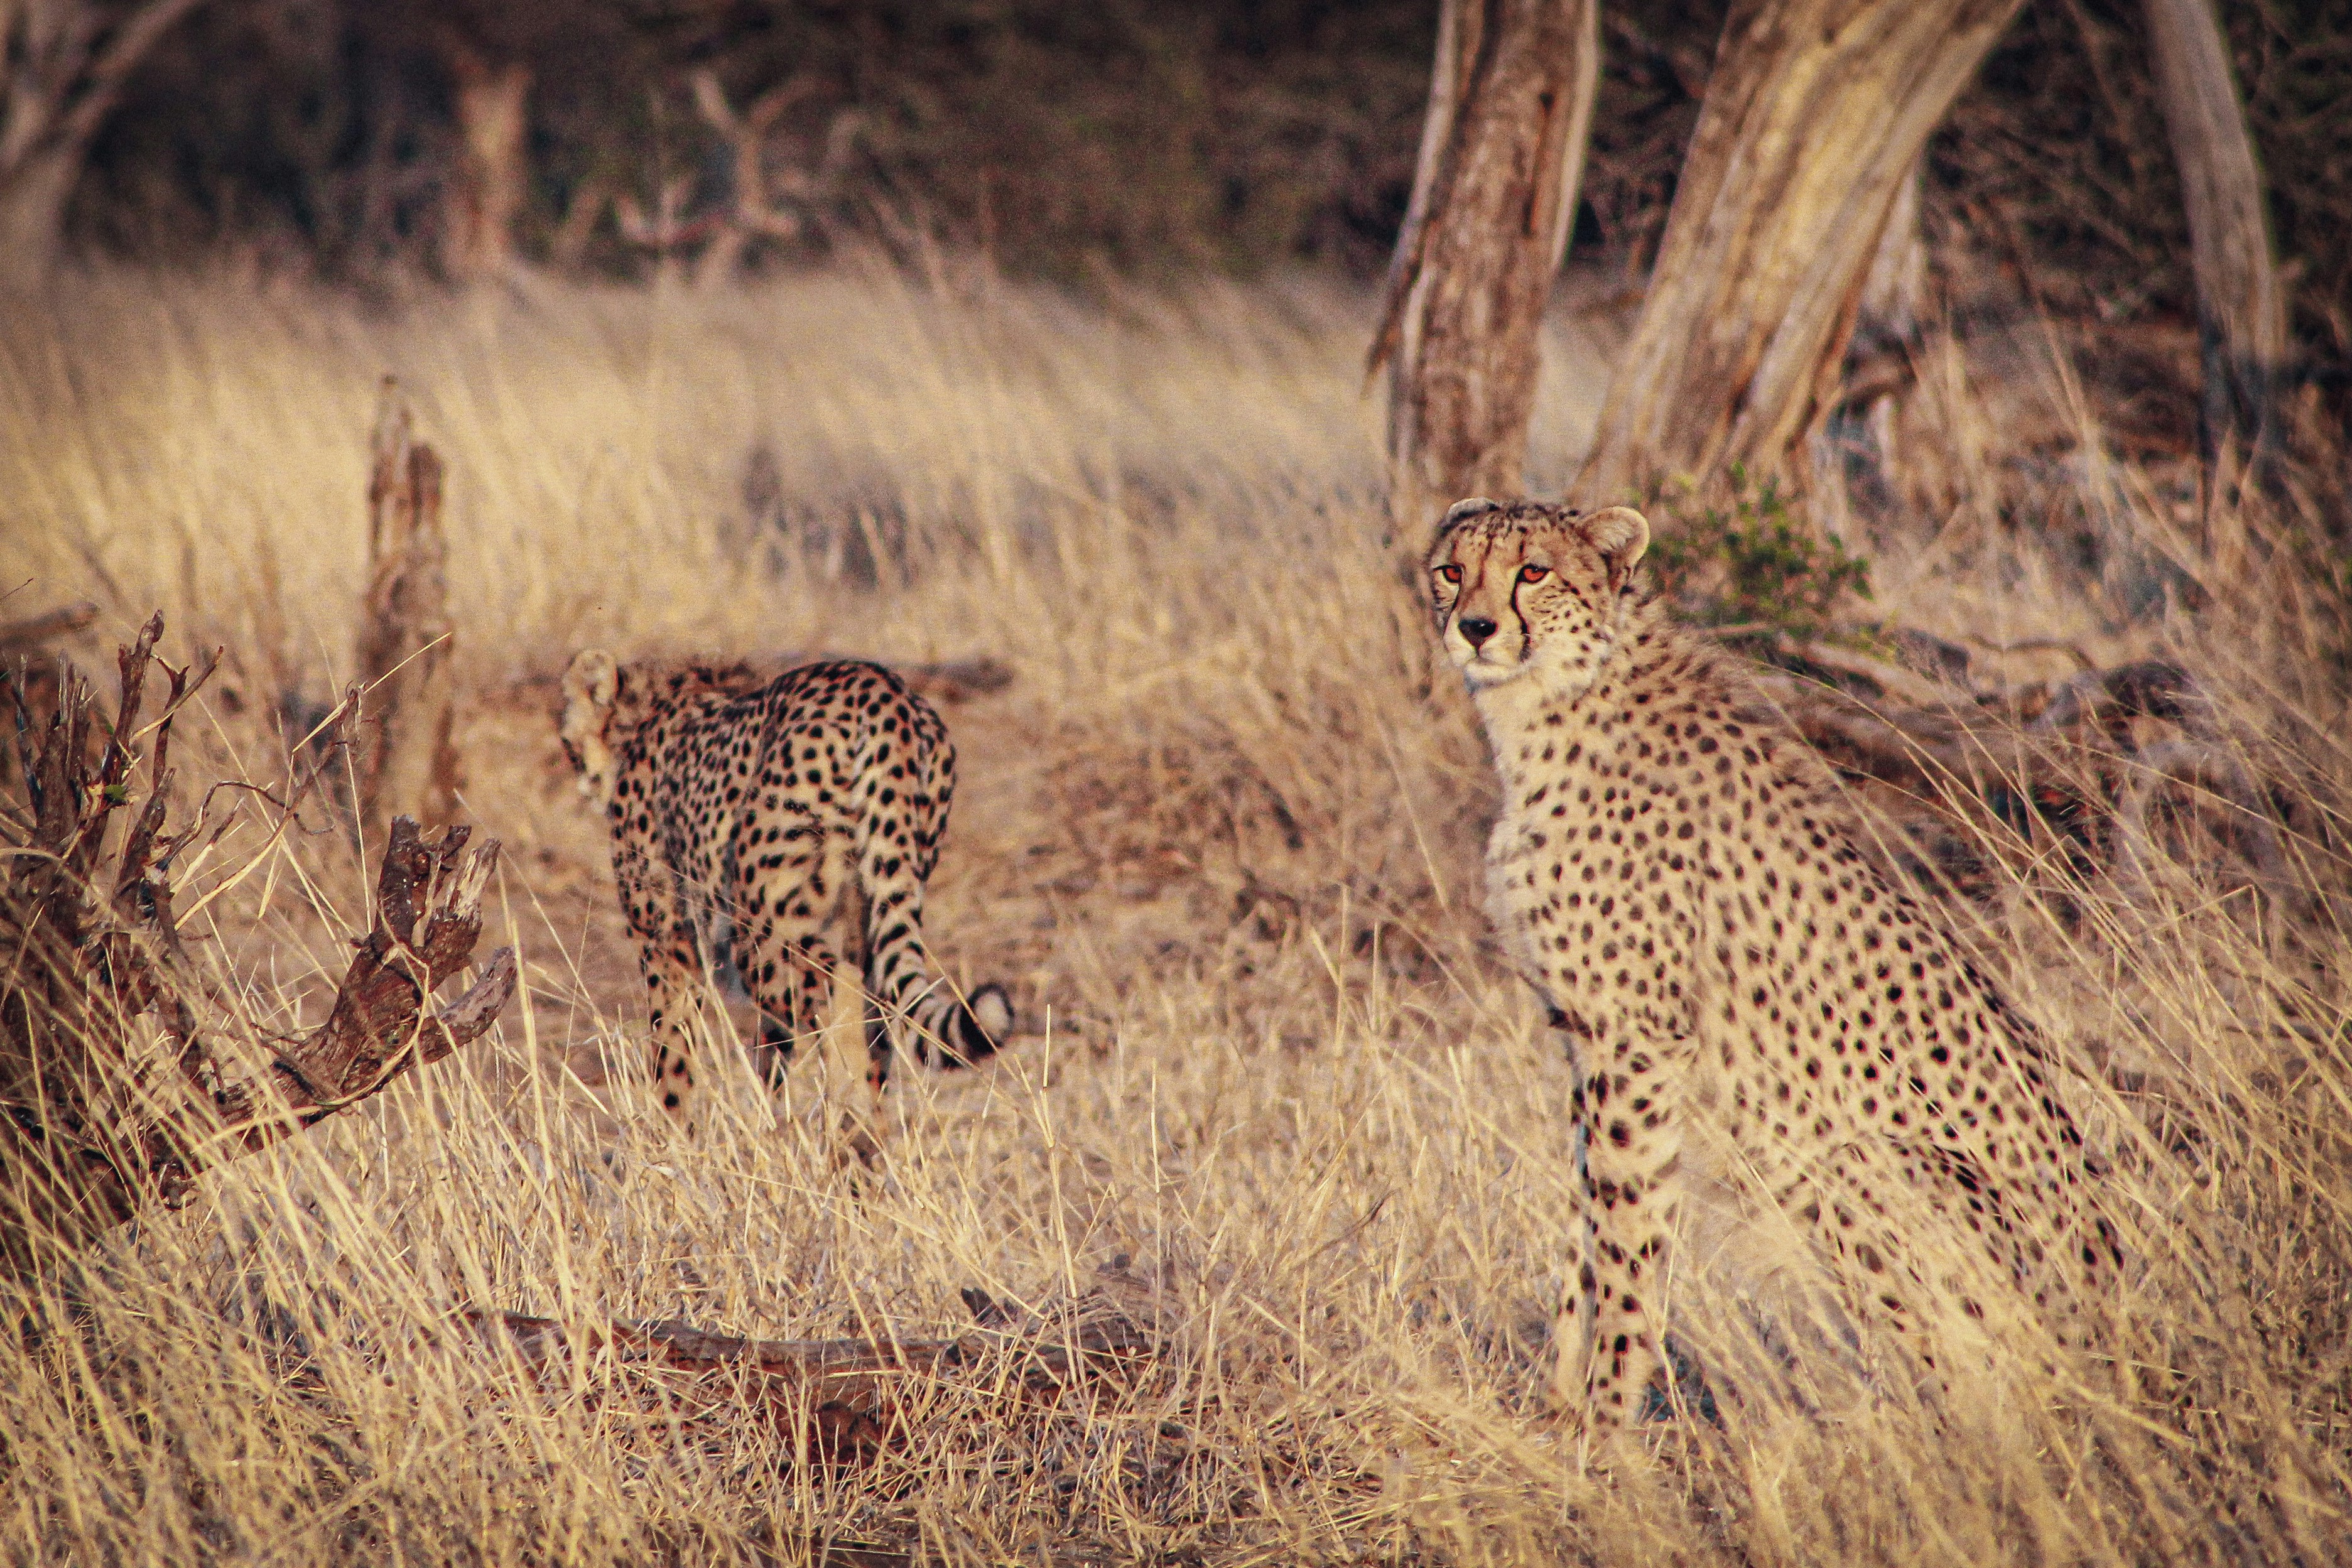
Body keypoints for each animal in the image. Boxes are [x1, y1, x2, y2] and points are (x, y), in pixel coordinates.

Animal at [559, 650, 1012, 1128]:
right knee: (874, 1013)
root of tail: (881, 686)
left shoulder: (668, 944)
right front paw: (767, 1125)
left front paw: (670, 1136)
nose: (579, 771)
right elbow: (771, 1055)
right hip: (873, 900)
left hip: (759, 926)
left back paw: (852, 1132)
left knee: (843, 1003)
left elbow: (673, 1056)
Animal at [1423, 497, 2117, 1439]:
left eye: (1533, 572)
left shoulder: (1638, 1044)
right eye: (1452, 571)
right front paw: (1560, 1406)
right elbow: (1583, 1231)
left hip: (1854, 1159)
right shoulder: (1583, 1036)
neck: (1554, 704)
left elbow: (1626, 1245)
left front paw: (1603, 1425)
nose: (1474, 627)